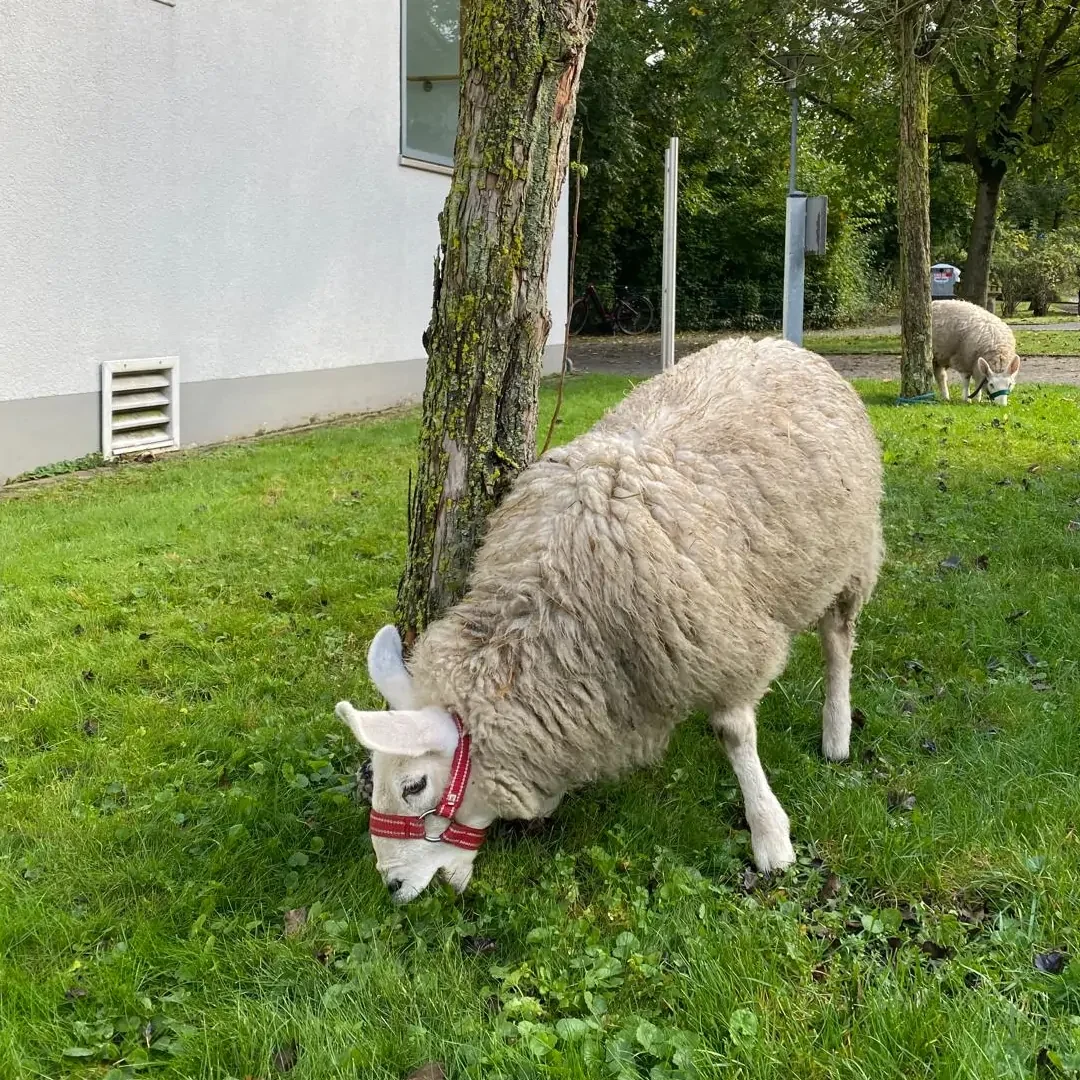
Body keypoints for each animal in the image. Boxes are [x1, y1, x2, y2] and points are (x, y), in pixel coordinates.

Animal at [336, 336, 885, 902]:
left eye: (414, 785)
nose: (392, 885)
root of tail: (777, 344)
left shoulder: (720, 638)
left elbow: (735, 734)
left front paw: (770, 834)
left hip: (853, 553)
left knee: (838, 642)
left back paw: (837, 733)